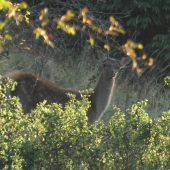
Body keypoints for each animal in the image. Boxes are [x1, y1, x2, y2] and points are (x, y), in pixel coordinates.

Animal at [1, 47, 131, 124]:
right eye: (104, 64)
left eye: (118, 67)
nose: (111, 73)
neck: (94, 107)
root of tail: (7, 79)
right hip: (23, 105)